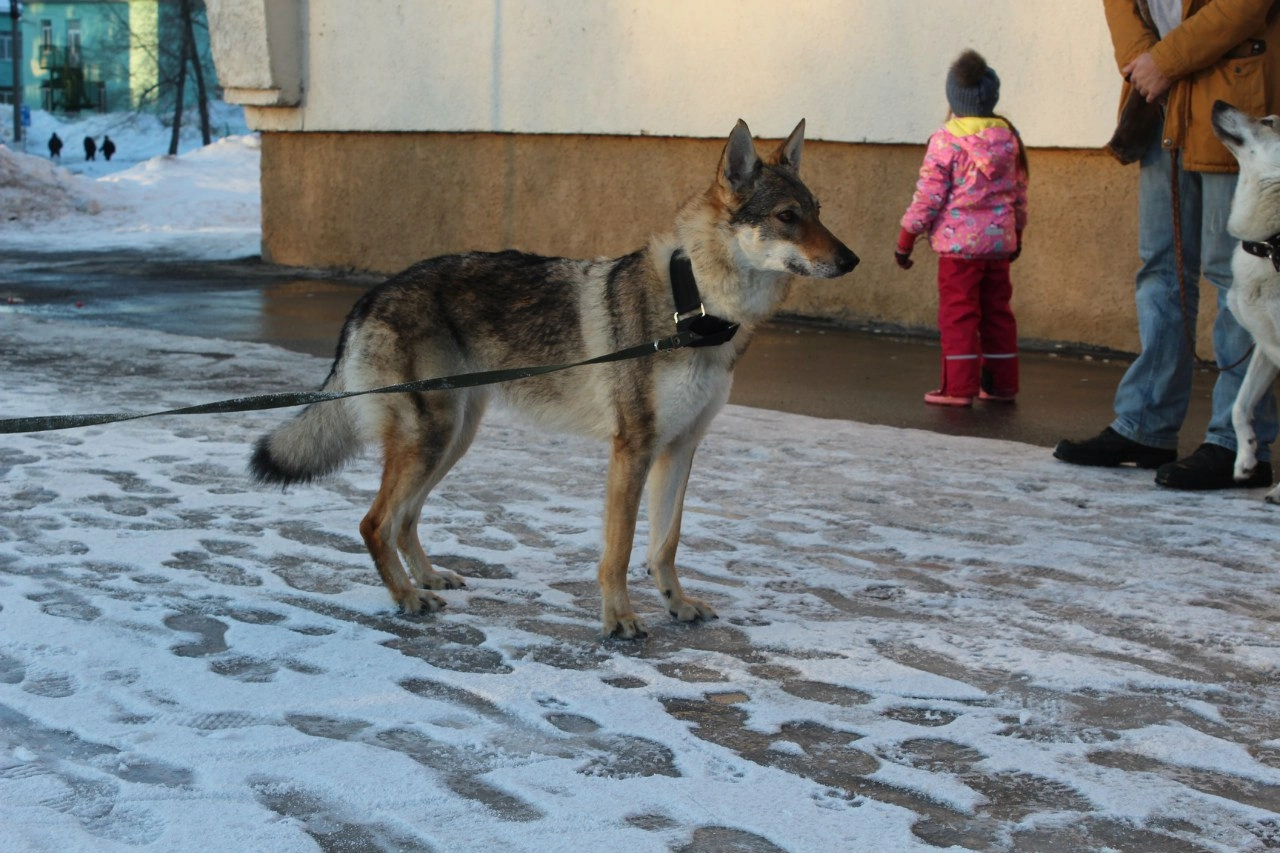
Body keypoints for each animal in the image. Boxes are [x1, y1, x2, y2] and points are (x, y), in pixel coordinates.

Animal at [247, 121, 860, 637]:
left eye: (820, 211)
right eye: (787, 217)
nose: (852, 260)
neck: (697, 309)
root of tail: (370, 295)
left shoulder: (681, 448)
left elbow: (665, 544)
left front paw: (678, 606)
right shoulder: (633, 449)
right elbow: (620, 550)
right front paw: (620, 621)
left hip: (453, 440)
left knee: (404, 519)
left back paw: (428, 578)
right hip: (432, 440)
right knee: (374, 522)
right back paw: (407, 597)